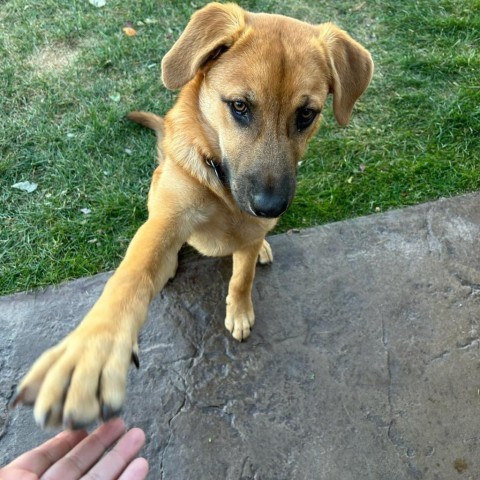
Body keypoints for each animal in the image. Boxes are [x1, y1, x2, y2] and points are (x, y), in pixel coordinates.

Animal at [9, 1, 374, 430]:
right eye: (239, 106)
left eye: (307, 114)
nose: (269, 206)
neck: (221, 190)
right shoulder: (167, 220)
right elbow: (132, 274)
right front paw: (94, 350)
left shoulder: (249, 234)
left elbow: (241, 278)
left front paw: (240, 310)